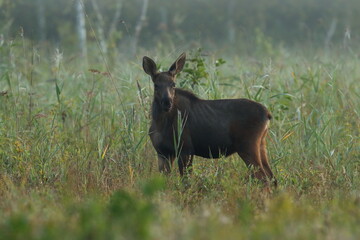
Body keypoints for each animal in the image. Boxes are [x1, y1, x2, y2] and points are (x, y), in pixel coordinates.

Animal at [142, 53, 278, 187]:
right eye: (156, 85)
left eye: (173, 84)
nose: (167, 102)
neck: (160, 123)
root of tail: (268, 114)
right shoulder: (162, 152)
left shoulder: (186, 148)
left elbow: (186, 182)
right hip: (261, 144)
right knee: (272, 178)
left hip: (247, 145)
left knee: (264, 178)